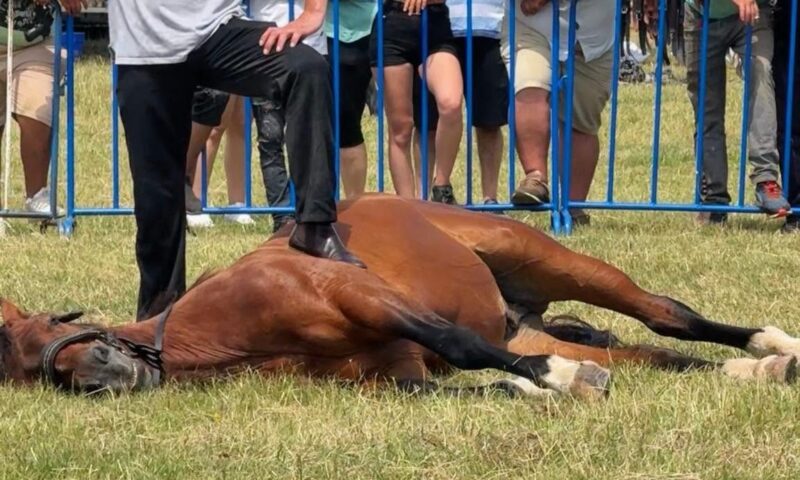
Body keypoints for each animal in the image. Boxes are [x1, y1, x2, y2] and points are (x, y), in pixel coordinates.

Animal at [2, 194, 799, 399]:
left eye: (44, 328)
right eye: (29, 365)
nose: (101, 377)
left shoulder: (368, 301)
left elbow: (460, 345)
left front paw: (561, 378)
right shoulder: (398, 378)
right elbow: (481, 383)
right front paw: (553, 384)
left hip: (553, 261)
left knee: (667, 315)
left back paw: (767, 344)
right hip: (528, 323)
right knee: (648, 352)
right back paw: (752, 368)